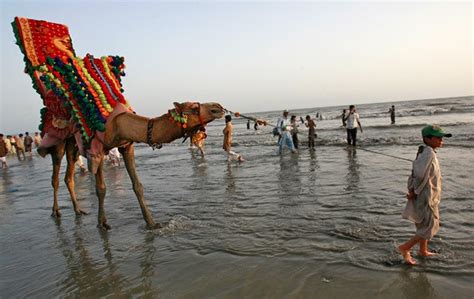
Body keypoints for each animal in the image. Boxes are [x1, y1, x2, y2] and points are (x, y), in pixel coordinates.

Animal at [43, 102, 225, 231]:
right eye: (194, 108)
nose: (218, 107)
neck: (118, 124)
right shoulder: (97, 149)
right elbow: (101, 188)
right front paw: (102, 223)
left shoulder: (126, 145)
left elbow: (138, 186)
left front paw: (152, 223)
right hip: (59, 142)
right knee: (55, 177)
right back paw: (56, 211)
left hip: (72, 145)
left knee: (68, 177)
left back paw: (78, 210)